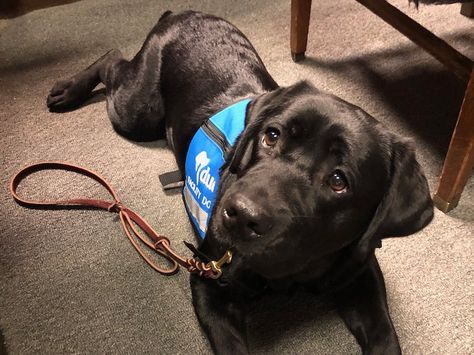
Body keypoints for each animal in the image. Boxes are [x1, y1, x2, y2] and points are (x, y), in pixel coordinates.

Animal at [47, 9, 434, 354]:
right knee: (113, 60)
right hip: (137, 110)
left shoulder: (360, 271)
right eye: (271, 136)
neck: (297, 269)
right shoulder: (210, 284)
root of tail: (182, 13)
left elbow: (384, 335)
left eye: (339, 180)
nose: (240, 213)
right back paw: (67, 89)